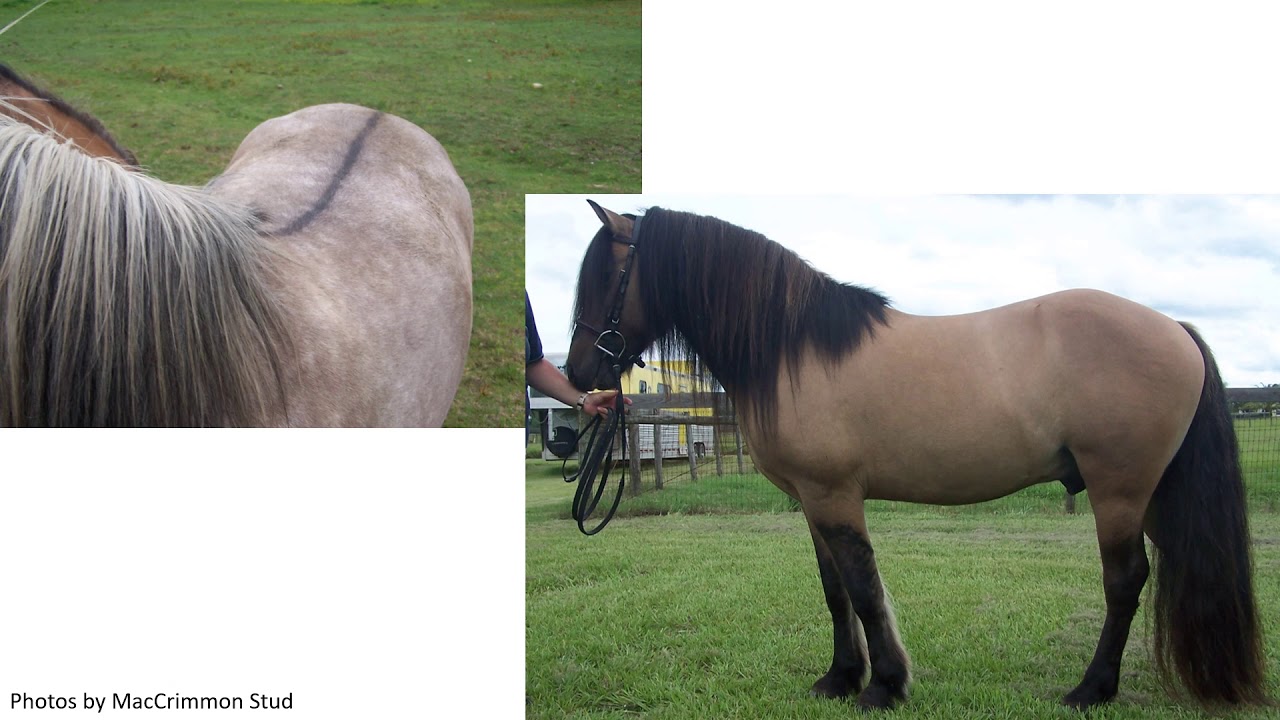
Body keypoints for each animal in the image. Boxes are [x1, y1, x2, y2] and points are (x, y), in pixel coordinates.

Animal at [565, 200, 1266, 710]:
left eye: (606, 278)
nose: (579, 376)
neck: (795, 350)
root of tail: (1175, 329)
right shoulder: (813, 501)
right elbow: (835, 593)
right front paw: (840, 679)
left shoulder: (836, 495)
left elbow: (864, 589)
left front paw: (883, 686)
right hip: (1154, 493)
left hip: (1120, 490)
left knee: (1125, 582)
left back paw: (1090, 690)